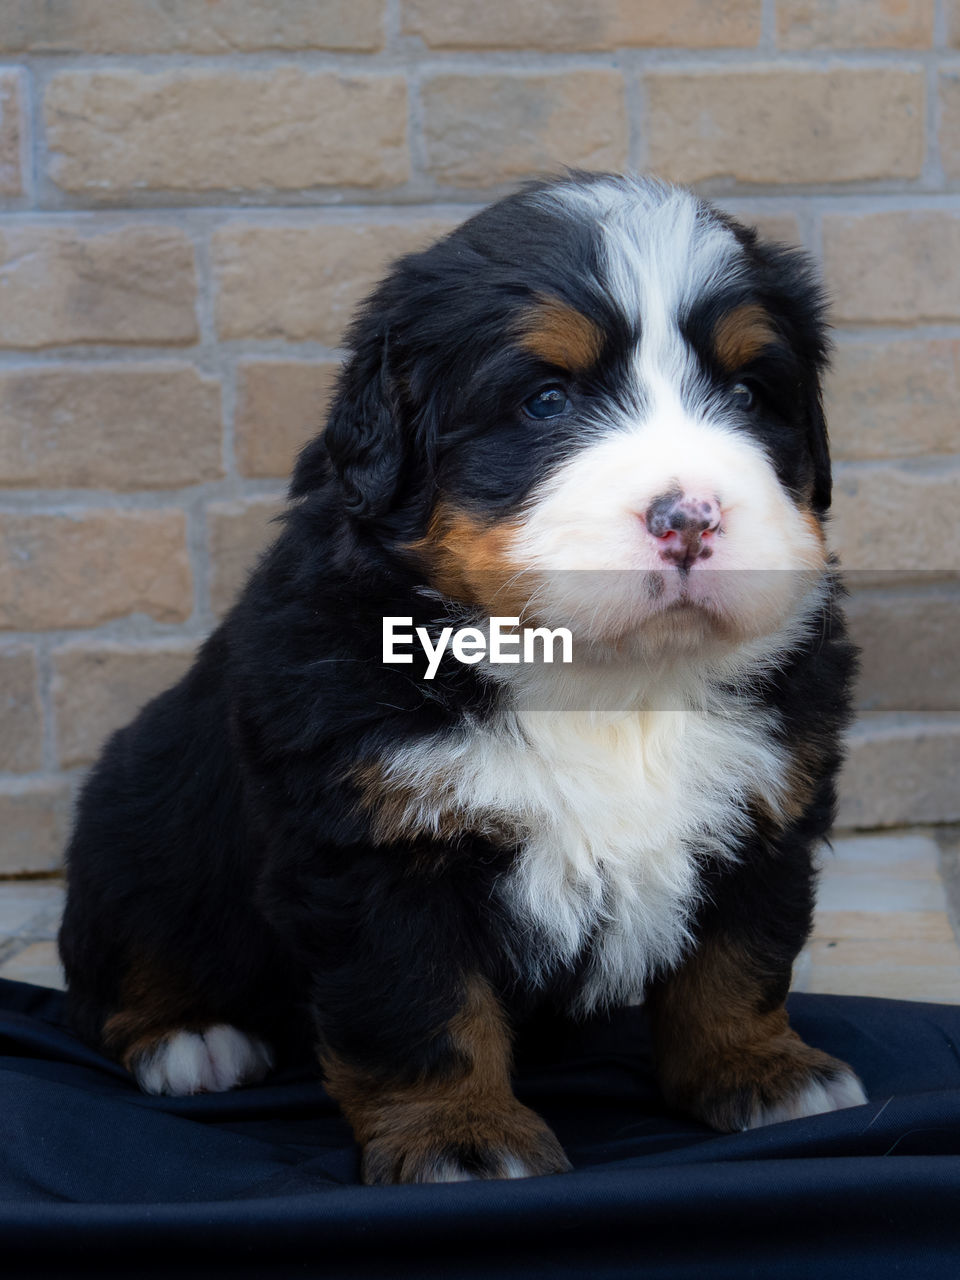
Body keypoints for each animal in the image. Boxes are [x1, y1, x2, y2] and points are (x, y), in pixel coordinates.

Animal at [60, 175, 870, 1182]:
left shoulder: (764, 809)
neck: (603, 677)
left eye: (750, 393)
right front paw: (460, 1136)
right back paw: (190, 1039)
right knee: (120, 962)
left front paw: (762, 1072)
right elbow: (421, 1011)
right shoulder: (378, 849)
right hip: (134, 822)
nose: (690, 516)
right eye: (547, 400)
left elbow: (741, 965)